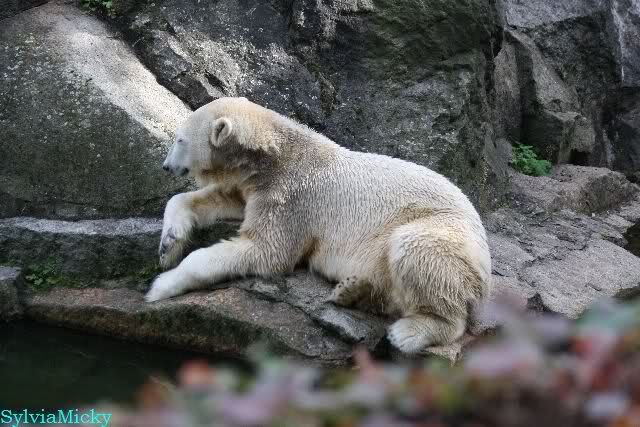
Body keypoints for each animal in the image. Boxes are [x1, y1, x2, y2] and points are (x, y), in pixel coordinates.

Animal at [146, 97, 492, 354]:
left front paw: (161, 285)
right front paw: (168, 244)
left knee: (418, 252)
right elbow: (221, 200)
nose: (165, 166)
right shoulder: (257, 186)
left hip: (442, 232)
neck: (277, 153)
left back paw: (409, 331)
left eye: (179, 139)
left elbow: (268, 250)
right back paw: (352, 289)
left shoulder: (293, 195)